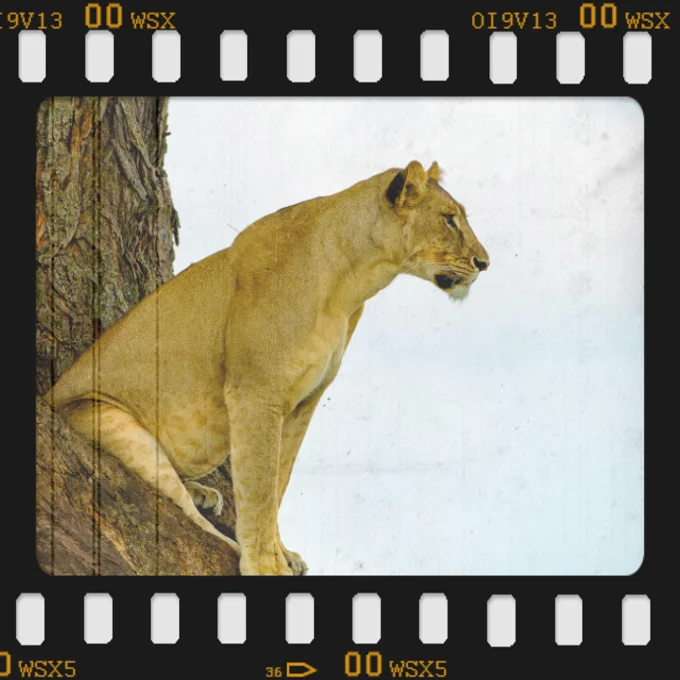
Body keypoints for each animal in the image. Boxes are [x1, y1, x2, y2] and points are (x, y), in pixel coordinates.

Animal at [44, 160, 490, 576]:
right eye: (449, 218)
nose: (484, 263)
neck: (352, 280)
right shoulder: (256, 392)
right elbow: (259, 483)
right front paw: (264, 564)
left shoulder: (305, 400)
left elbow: (279, 482)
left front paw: (282, 552)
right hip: (111, 422)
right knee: (185, 516)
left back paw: (203, 493)